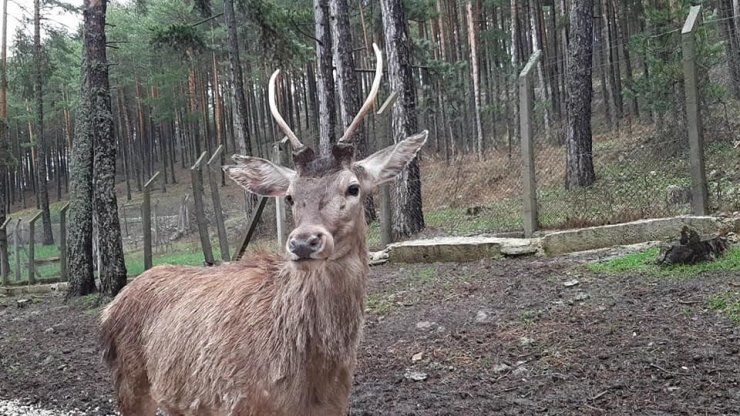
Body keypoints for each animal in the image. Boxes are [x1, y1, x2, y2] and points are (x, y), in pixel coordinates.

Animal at [101, 43, 428, 416]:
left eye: (353, 187)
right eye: (290, 196)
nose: (304, 242)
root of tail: (109, 310)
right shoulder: (240, 404)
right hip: (130, 382)